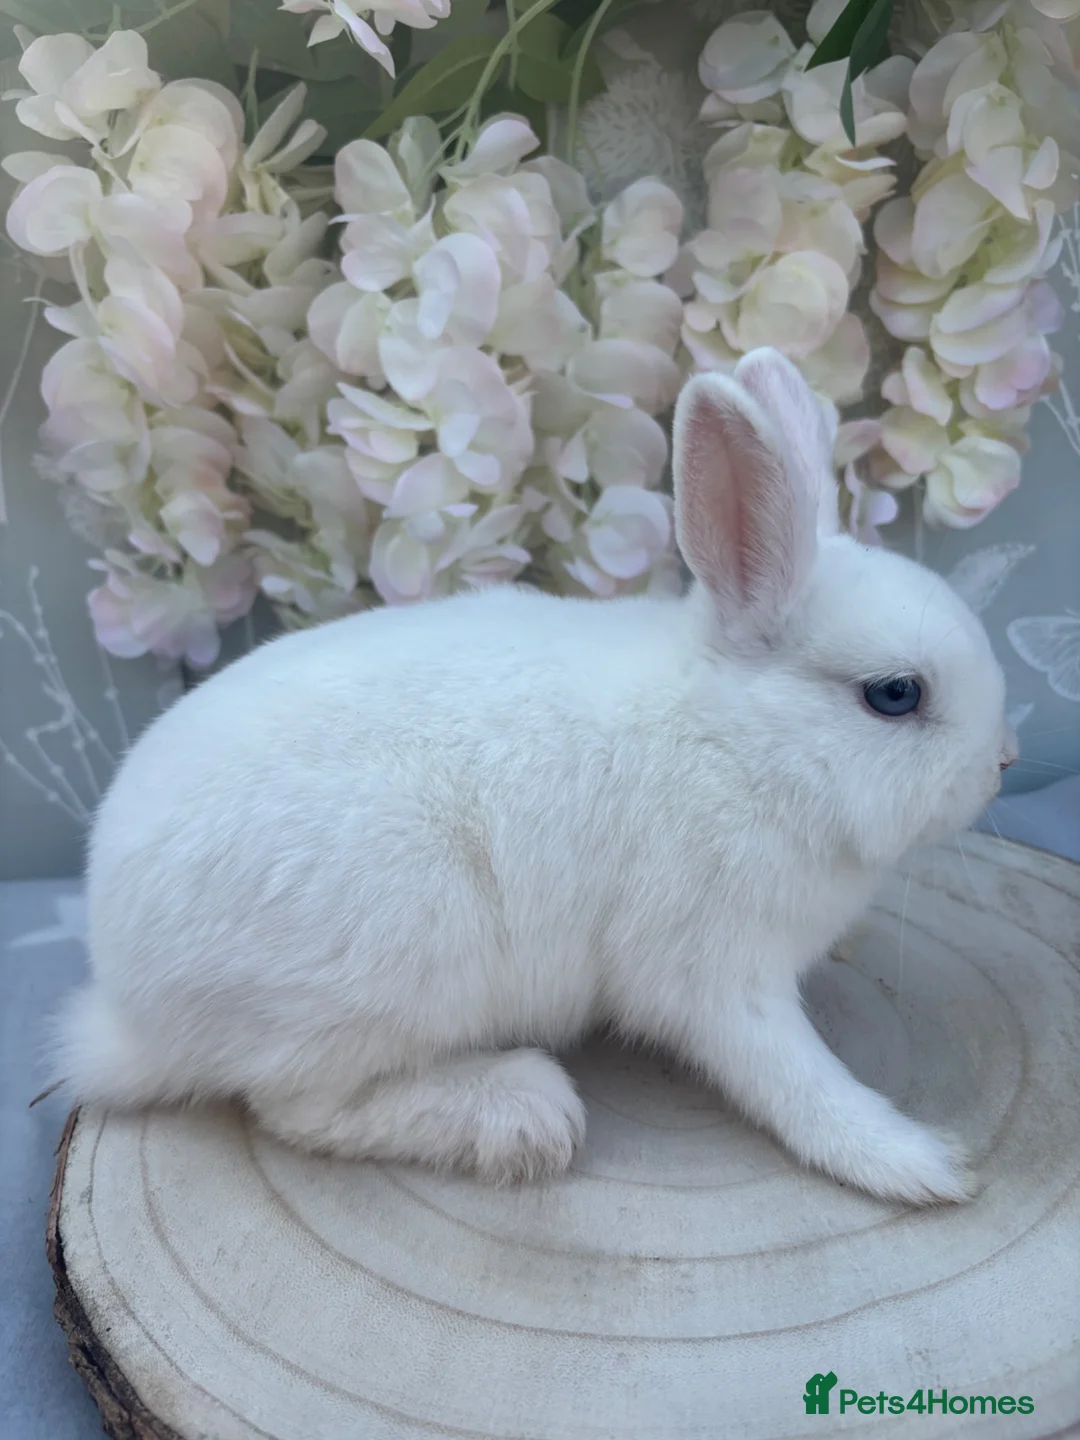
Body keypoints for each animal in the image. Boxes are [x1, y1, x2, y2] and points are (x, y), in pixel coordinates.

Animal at [51, 347, 1016, 1205]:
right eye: (895, 694)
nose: (1003, 763)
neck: (741, 743)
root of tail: (126, 1014)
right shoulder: (716, 972)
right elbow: (793, 1078)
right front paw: (920, 1163)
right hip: (395, 959)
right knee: (298, 1109)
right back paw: (522, 1113)